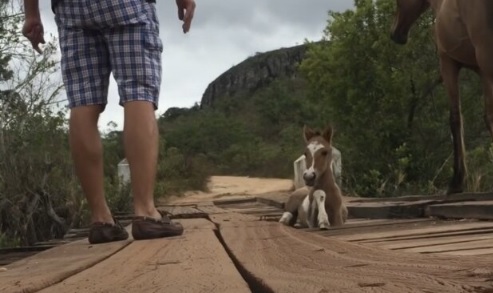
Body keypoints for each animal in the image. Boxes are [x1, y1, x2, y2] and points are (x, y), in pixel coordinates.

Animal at [388, 1, 492, 195]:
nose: (395, 34)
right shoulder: (480, 70)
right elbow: (486, 117)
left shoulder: (447, 62)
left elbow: (456, 119)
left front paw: (457, 182)